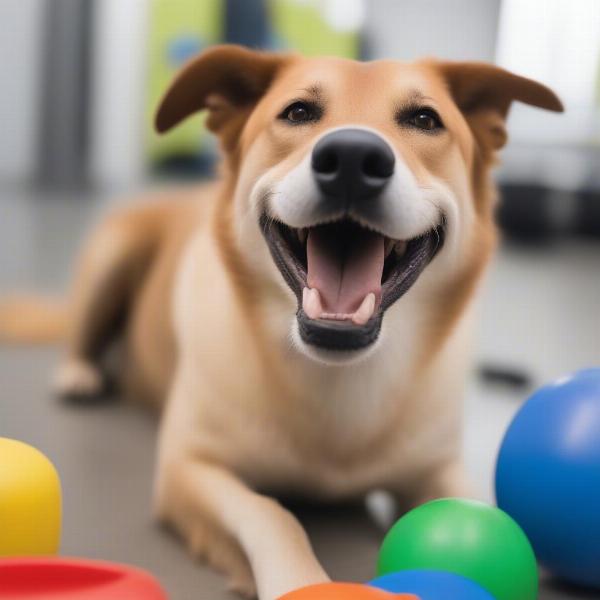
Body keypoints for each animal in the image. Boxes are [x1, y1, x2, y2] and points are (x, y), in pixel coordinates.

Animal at [1, 47, 564, 600]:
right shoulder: (189, 469)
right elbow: (271, 515)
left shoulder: (438, 468)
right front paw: (301, 580)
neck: (339, 375)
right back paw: (79, 374)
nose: (353, 159)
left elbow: (481, 507)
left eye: (425, 120)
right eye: (297, 112)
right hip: (113, 254)